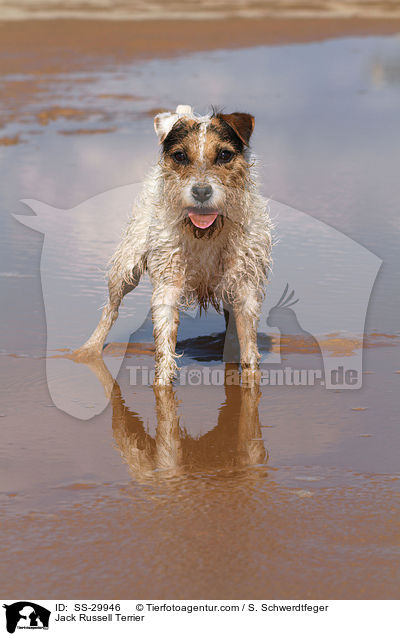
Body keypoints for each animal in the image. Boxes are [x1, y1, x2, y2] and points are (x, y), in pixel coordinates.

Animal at [74, 105, 272, 386]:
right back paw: (88, 349)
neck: (206, 232)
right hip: (126, 265)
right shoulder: (167, 283)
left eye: (224, 154)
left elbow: (248, 340)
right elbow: (165, 337)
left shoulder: (245, 283)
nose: (201, 192)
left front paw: (250, 380)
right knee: (111, 308)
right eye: (180, 156)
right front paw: (163, 386)